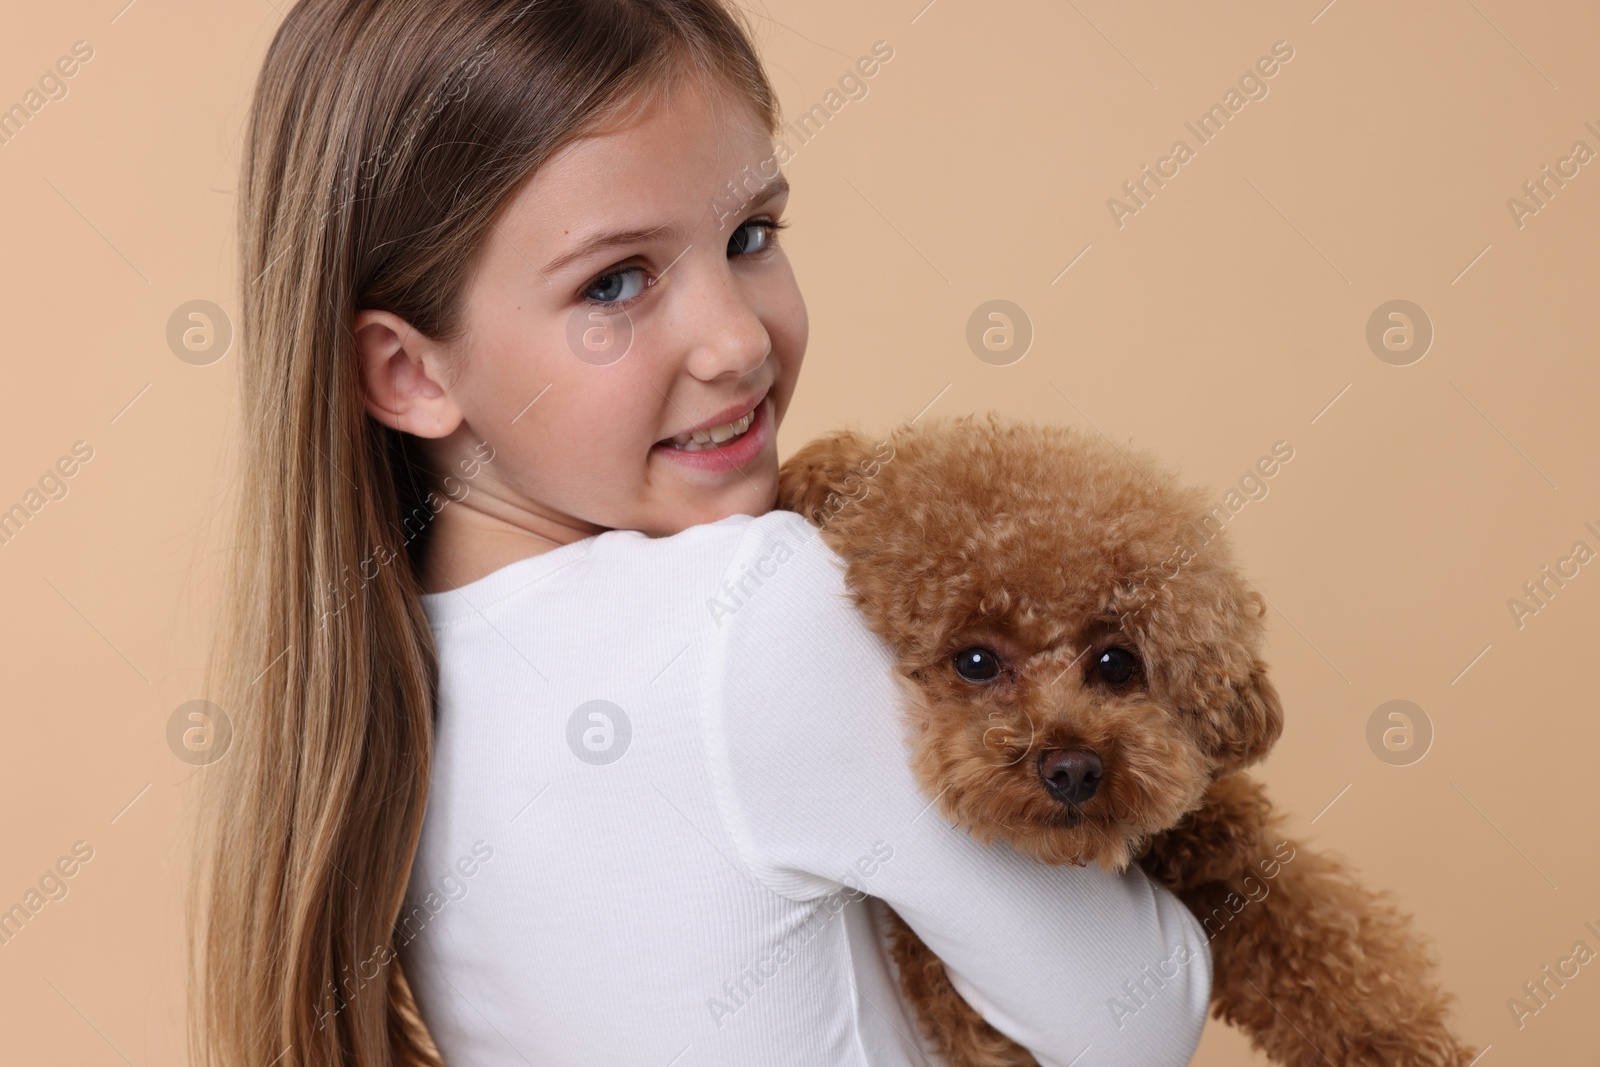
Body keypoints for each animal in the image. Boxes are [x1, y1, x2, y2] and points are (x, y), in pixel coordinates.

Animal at [774, 415, 1472, 1067]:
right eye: (975, 661)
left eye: (1117, 663)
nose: (1074, 769)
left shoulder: (1230, 850)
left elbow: (1326, 942)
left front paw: (1395, 1042)